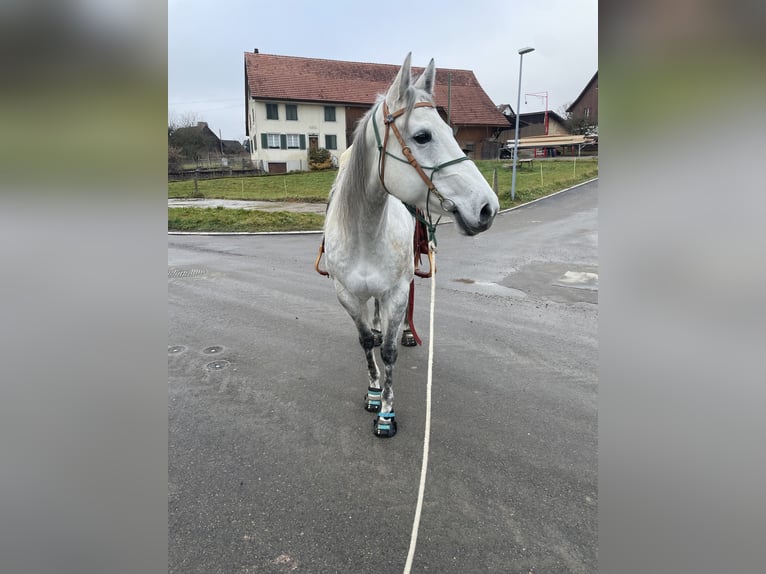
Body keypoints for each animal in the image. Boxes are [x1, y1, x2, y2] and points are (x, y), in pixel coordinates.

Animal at [323, 53, 499, 437]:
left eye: (451, 132)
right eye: (422, 136)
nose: (487, 207)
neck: (365, 231)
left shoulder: (397, 291)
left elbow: (388, 352)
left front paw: (387, 412)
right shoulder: (346, 295)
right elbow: (366, 343)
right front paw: (374, 392)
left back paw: (405, 330)